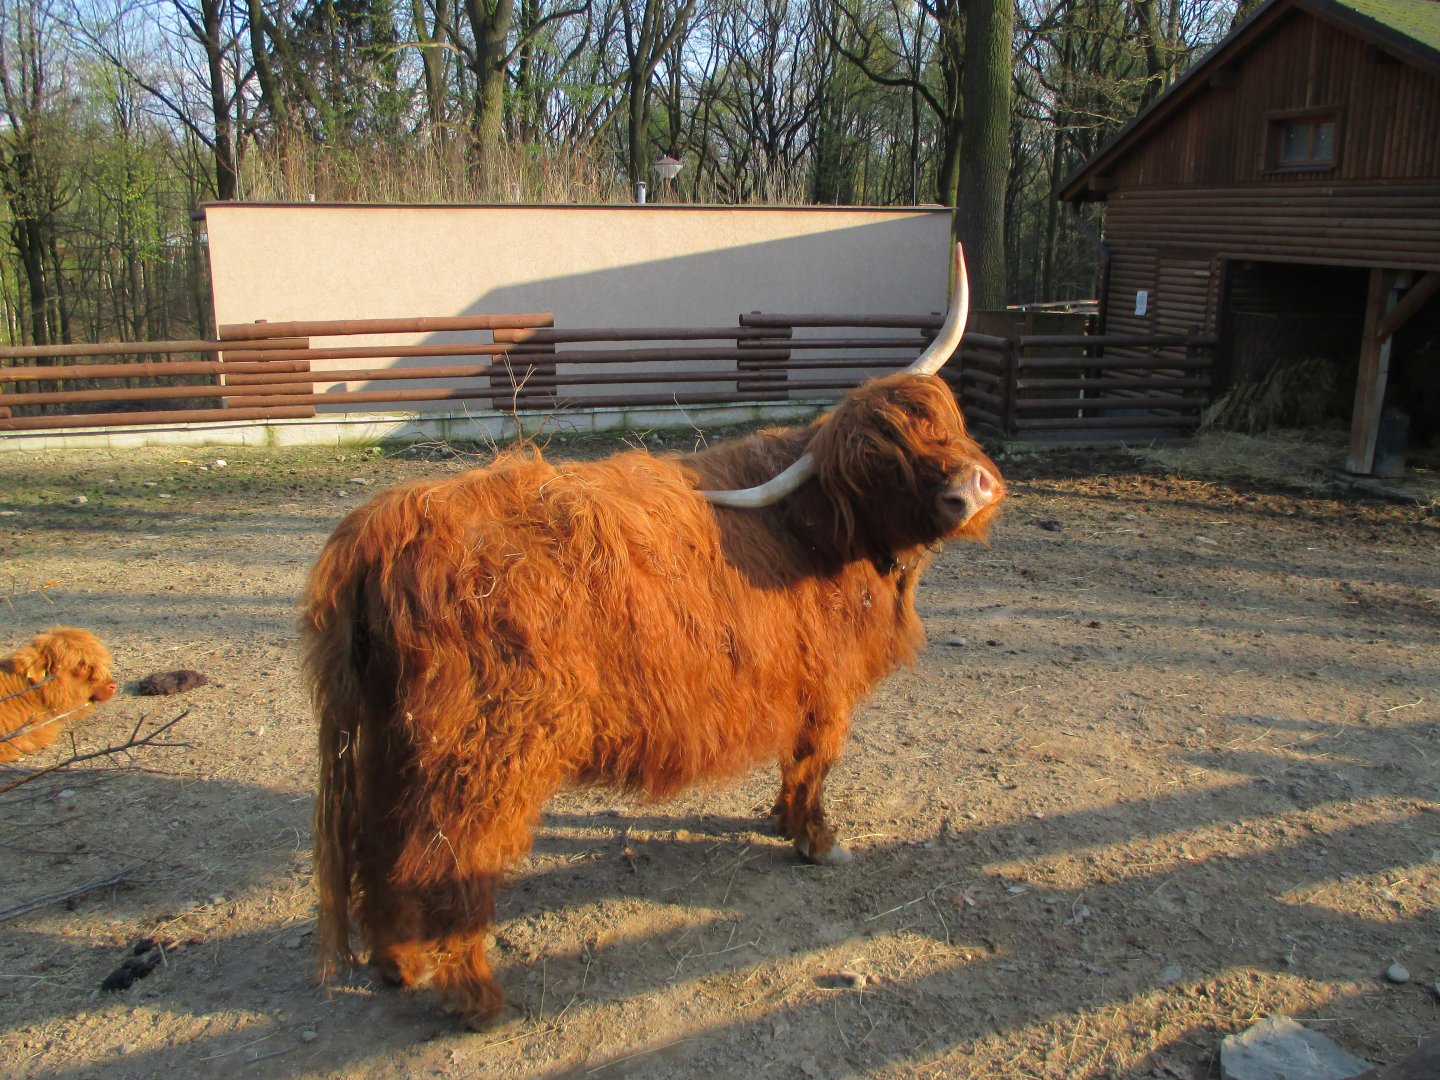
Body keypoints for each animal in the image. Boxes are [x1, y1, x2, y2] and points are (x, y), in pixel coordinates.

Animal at [302, 245, 1005, 1027]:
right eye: (878, 470)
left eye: (939, 422)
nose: (968, 492)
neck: (817, 533)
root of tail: (385, 522)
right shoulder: (826, 690)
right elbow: (814, 764)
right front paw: (817, 842)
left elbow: (794, 767)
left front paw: (778, 821)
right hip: (483, 750)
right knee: (442, 860)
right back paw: (479, 1000)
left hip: (391, 737)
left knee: (378, 843)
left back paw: (397, 964)